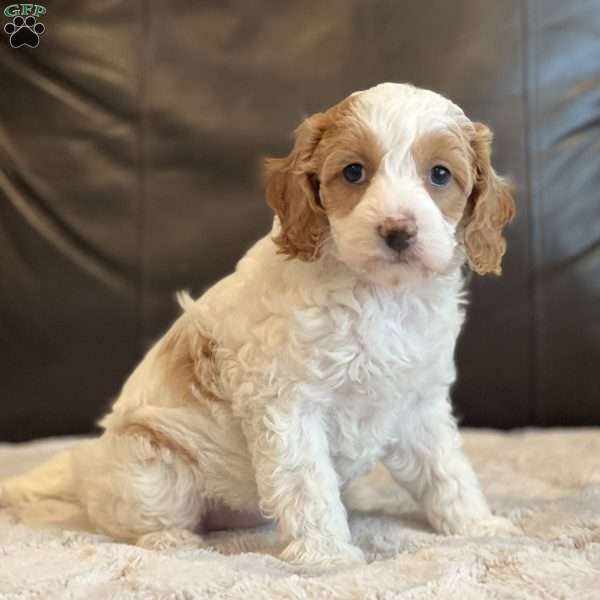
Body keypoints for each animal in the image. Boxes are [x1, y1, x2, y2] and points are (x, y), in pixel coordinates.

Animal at [0, 83, 516, 568]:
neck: (380, 295)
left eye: (440, 174)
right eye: (353, 172)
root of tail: (82, 466)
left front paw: (477, 526)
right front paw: (327, 554)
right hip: (152, 468)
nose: (397, 232)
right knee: (127, 519)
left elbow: (446, 470)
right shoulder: (287, 405)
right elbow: (308, 483)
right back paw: (170, 539)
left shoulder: (417, 402)